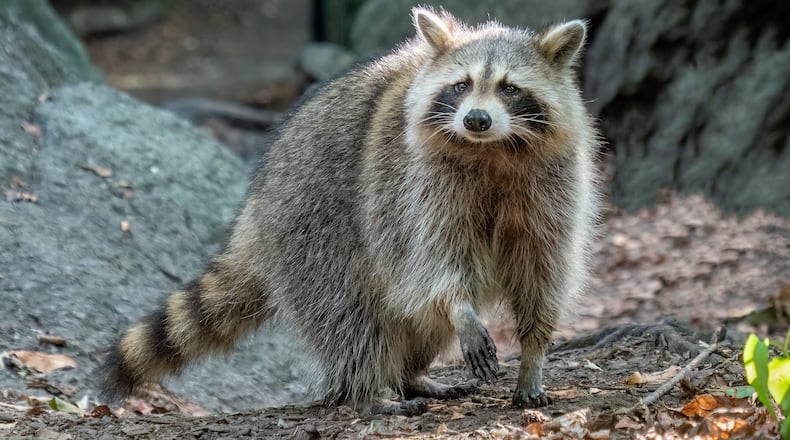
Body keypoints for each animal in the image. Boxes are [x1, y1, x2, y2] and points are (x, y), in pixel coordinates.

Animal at [103, 7, 600, 415]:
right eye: (461, 86)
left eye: (510, 88)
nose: (476, 119)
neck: (494, 149)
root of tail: (256, 208)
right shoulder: (414, 186)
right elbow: (435, 259)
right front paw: (461, 308)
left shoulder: (553, 186)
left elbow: (543, 268)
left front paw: (533, 354)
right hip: (312, 225)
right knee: (350, 314)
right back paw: (364, 390)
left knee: (415, 320)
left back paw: (411, 374)